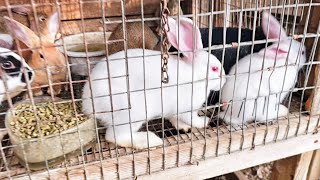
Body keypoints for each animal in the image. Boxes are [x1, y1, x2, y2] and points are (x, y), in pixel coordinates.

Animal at [82, 16, 225, 149]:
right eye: (214, 68)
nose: (224, 80)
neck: (195, 74)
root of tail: (88, 102)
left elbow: (174, 118)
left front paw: (183, 126)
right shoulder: (186, 108)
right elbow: (192, 119)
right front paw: (204, 121)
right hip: (132, 112)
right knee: (114, 135)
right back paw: (149, 140)